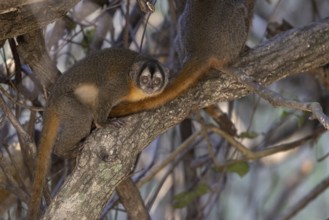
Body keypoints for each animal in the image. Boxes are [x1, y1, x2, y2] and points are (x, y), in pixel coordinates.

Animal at [26, 48, 168, 220]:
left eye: (156, 81)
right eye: (145, 80)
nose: (151, 88)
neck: (134, 86)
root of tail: (51, 100)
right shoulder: (121, 84)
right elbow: (105, 93)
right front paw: (103, 123)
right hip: (65, 103)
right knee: (83, 118)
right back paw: (64, 150)